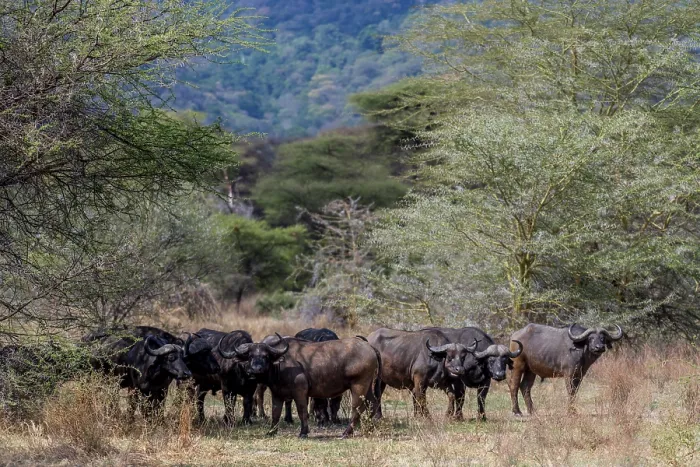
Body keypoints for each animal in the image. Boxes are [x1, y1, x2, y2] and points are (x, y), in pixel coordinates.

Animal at [225, 334, 380, 438]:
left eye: (265, 356)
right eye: (250, 356)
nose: (256, 370)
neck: (282, 364)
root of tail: (370, 347)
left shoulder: (300, 392)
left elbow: (302, 411)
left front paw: (303, 432)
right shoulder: (277, 394)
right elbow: (275, 413)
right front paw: (271, 432)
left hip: (358, 386)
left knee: (357, 408)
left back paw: (346, 433)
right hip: (367, 387)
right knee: (373, 402)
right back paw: (369, 428)